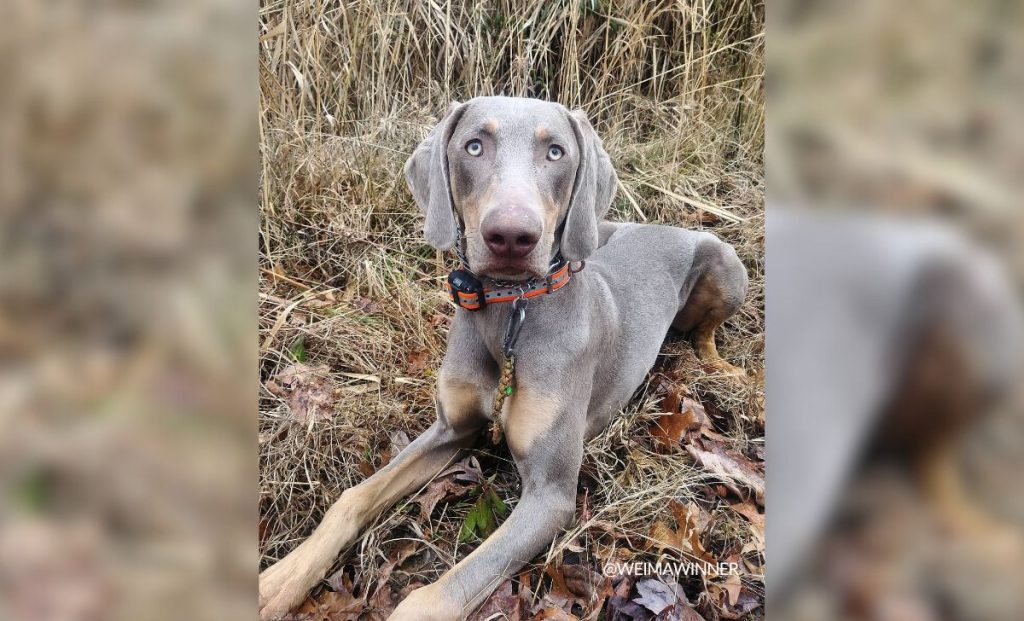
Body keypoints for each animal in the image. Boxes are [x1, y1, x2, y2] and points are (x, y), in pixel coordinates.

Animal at [260, 97, 749, 621]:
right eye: (474, 145)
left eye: (555, 151)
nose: (511, 236)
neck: (509, 312)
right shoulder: (451, 429)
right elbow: (352, 498)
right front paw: (281, 580)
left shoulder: (551, 495)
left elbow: (436, 595)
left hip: (727, 264)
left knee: (705, 333)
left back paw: (721, 367)